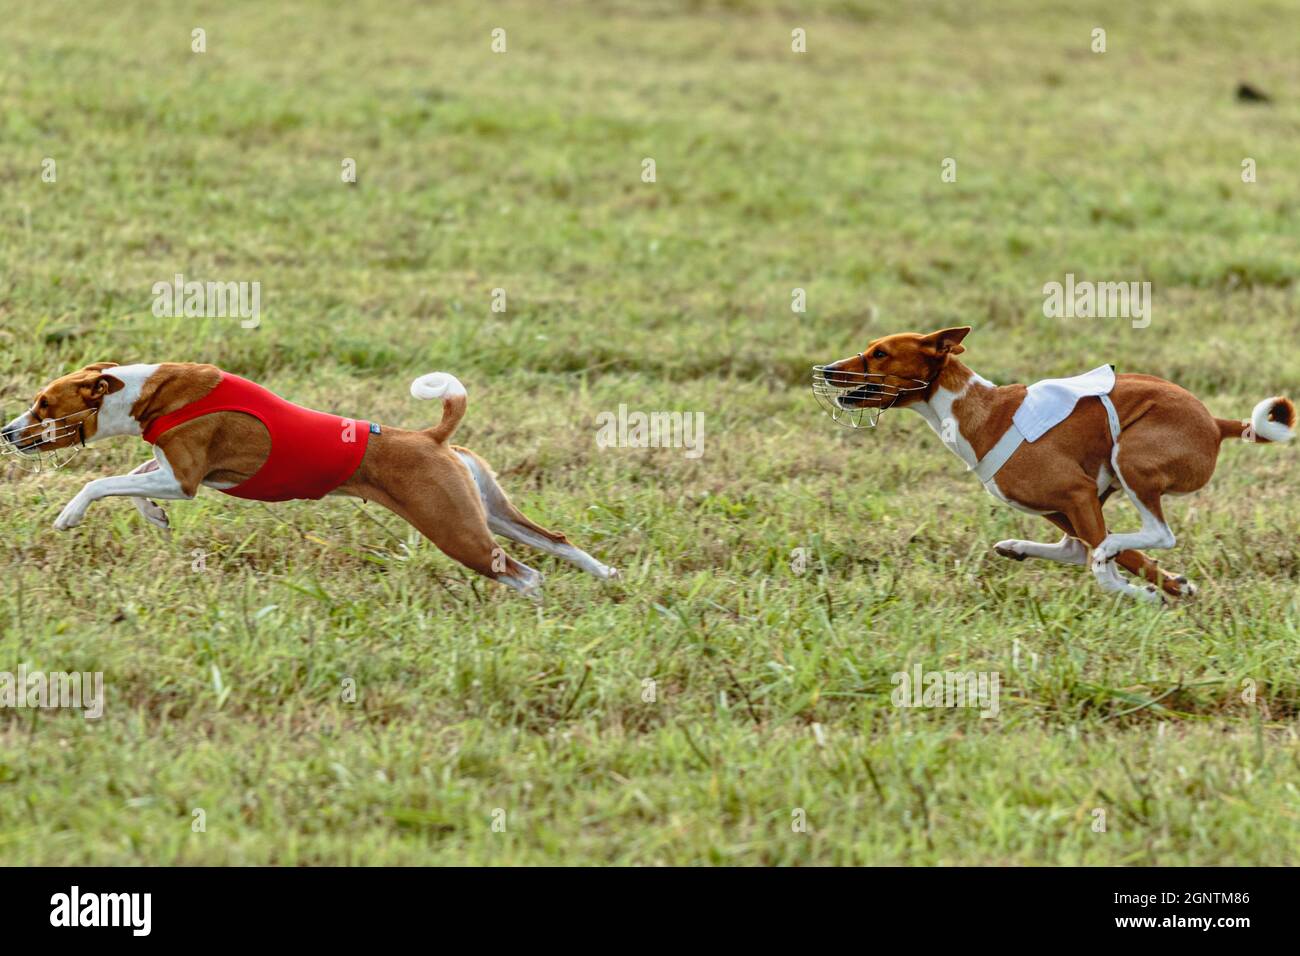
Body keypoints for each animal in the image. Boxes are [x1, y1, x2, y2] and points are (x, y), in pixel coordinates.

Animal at [1, 361, 618, 595]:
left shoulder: (187, 477)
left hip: (454, 528)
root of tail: (430, 438)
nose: (6, 432)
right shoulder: (173, 469)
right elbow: (131, 475)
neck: (149, 393)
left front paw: (68, 515)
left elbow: (101, 482)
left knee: (525, 573)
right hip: (487, 510)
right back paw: (608, 575)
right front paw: (153, 517)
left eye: (43, 404)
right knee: (556, 542)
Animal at [816, 325, 1294, 600]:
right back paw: (1020, 548)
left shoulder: (1077, 494)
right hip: (1095, 491)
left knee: (1155, 534)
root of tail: (1214, 421)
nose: (827, 368)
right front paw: (1171, 585)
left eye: (879, 353)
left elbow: (1109, 565)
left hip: (1129, 459)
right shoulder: (1071, 503)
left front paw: (1139, 592)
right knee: (1087, 546)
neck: (973, 408)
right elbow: (1124, 555)